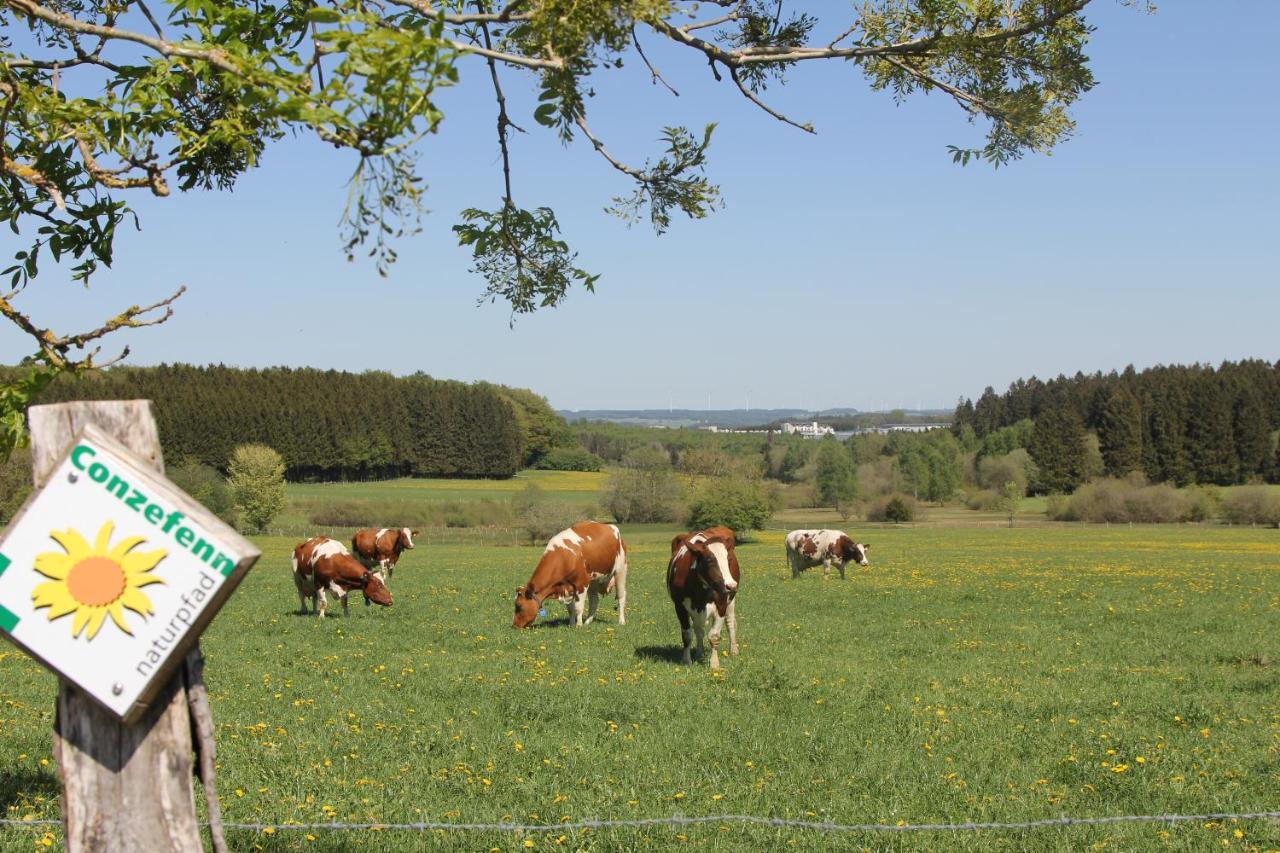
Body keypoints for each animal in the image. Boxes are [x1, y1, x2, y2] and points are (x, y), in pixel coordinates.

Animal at [670, 525, 742, 671]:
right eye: (709, 560)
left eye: (729, 560)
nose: (731, 585)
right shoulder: (679, 606)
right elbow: (687, 635)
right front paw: (687, 660)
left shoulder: (722, 605)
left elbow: (714, 636)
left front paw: (714, 664)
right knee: (698, 629)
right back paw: (699, 652)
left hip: (731, 601)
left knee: (731, 623)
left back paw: (733, 650)